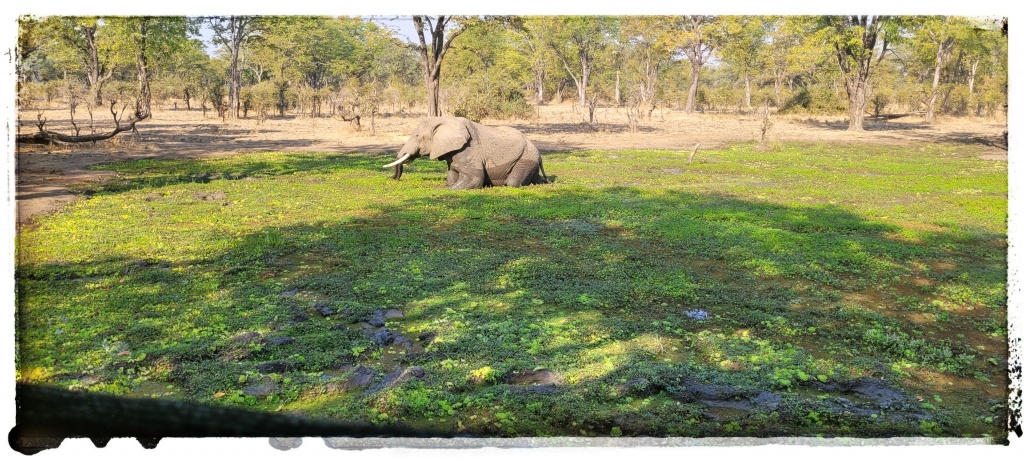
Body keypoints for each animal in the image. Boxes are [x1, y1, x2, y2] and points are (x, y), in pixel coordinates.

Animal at [382, 117, 544, 189]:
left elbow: (474, 179)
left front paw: (445, 189)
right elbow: (451, 176)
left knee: (512, 183)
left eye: (417, 136)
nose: (390, 178)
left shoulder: (468, 150)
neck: (444, 120)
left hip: (526, 157)